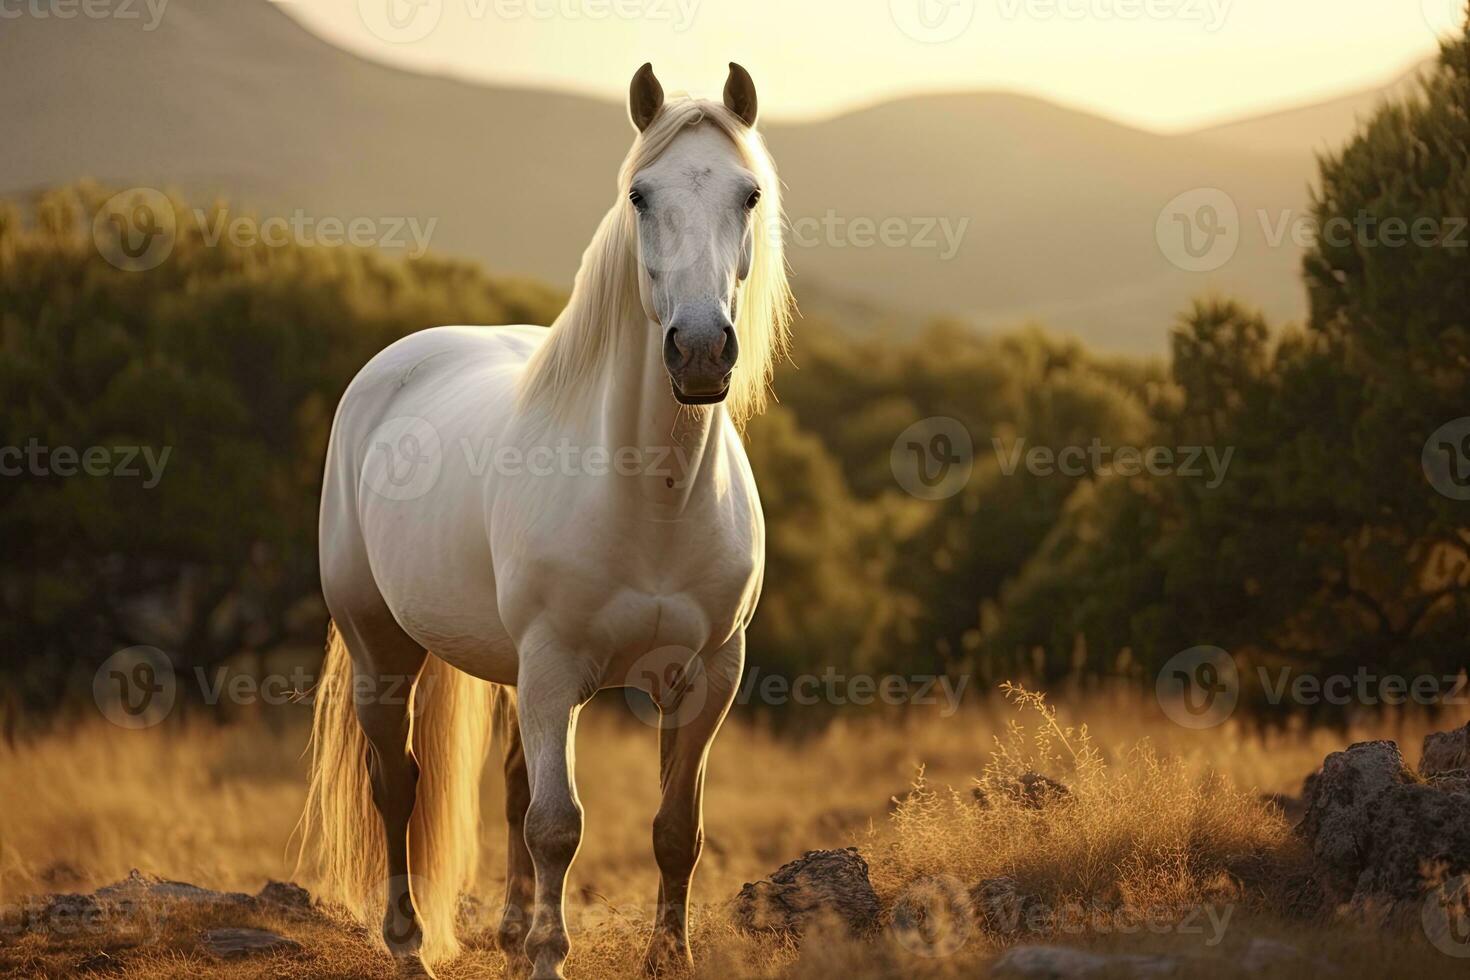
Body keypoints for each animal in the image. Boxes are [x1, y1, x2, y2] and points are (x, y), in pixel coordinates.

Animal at [298, 63, 793, 980]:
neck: (653, 497)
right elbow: (559, 827)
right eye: (639, 194)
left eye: (747, 194)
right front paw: (547, 959)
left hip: (513, 673)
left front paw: (666, 957)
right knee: (398, 786)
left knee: (514, 782)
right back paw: (409, 947)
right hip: (382, 648)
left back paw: (504, 931)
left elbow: (676, 829)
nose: (700, 351)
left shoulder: (709, 674)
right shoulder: (555, 668)